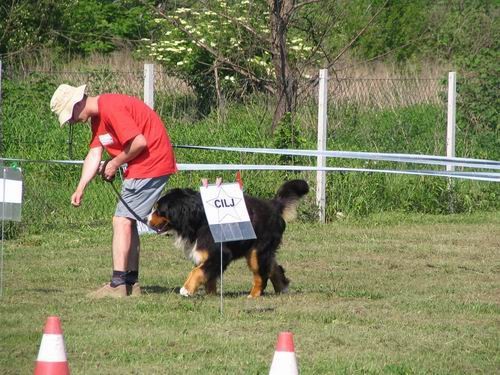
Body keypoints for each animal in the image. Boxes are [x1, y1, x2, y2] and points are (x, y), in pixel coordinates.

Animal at [146, 180, 308, 300]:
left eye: (159, 210)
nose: (146, 219)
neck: (198, 219)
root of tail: (273, 205)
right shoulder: (205, 254)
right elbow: (208, 275)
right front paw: (211, 295)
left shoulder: (220, 253)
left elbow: (197, 271)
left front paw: (186, 289)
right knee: (273, 267)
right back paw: (282, 288)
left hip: (256, 252)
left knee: (261, 275)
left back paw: (254, 295)